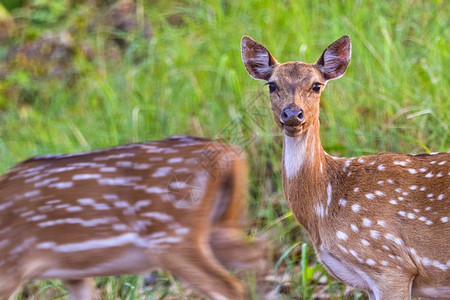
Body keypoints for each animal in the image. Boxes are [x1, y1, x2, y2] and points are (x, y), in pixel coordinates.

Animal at [0, 137, 268, 300]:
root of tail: (228, 153)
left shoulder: (8, 268)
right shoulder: (74, 272)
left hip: (173, 239)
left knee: (230, 286)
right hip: (219, 225)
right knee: (258, 251)